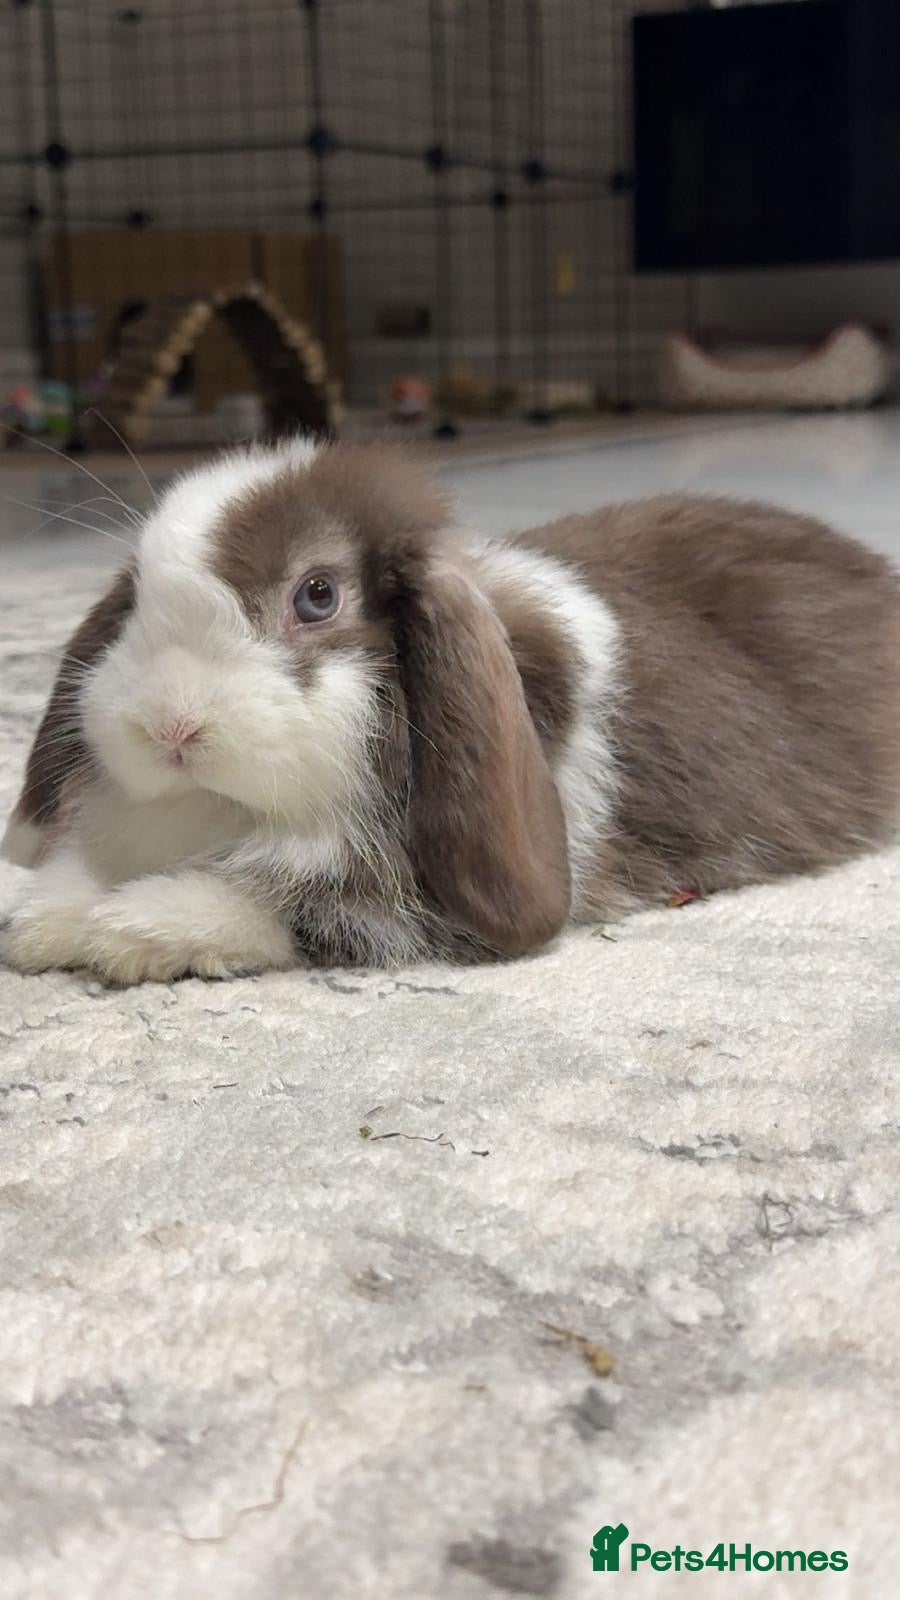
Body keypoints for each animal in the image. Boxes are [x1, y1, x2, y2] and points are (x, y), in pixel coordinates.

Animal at [2, 435, 899, 985]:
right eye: (135, 599)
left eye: (318, 595)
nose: (170, 727)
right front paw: (42, 914)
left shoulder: (398, 903)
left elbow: (292, 908)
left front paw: (134, 930)